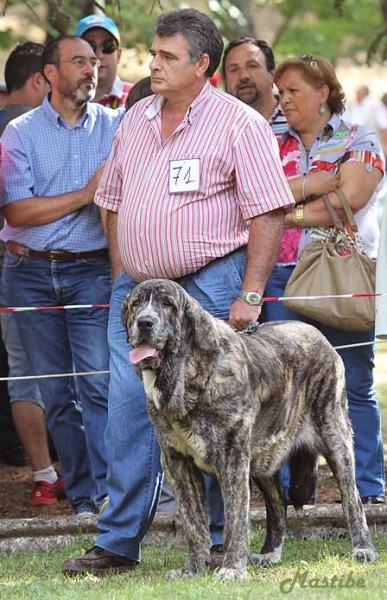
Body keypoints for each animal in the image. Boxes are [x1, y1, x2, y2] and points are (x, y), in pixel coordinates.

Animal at [122, 278, 378, 580]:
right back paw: (271, 553)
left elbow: (235, 520)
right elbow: (193, 524)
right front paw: (192, 569)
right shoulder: (177, 462)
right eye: (137, 304)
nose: (145, 323)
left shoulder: (232, 459)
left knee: (352, 498)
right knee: (278, 504)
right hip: (263, 456)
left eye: (167, 304)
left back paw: (363, 548)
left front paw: (232, 568)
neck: (190, 377)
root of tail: (317, 333)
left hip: (335, 437)